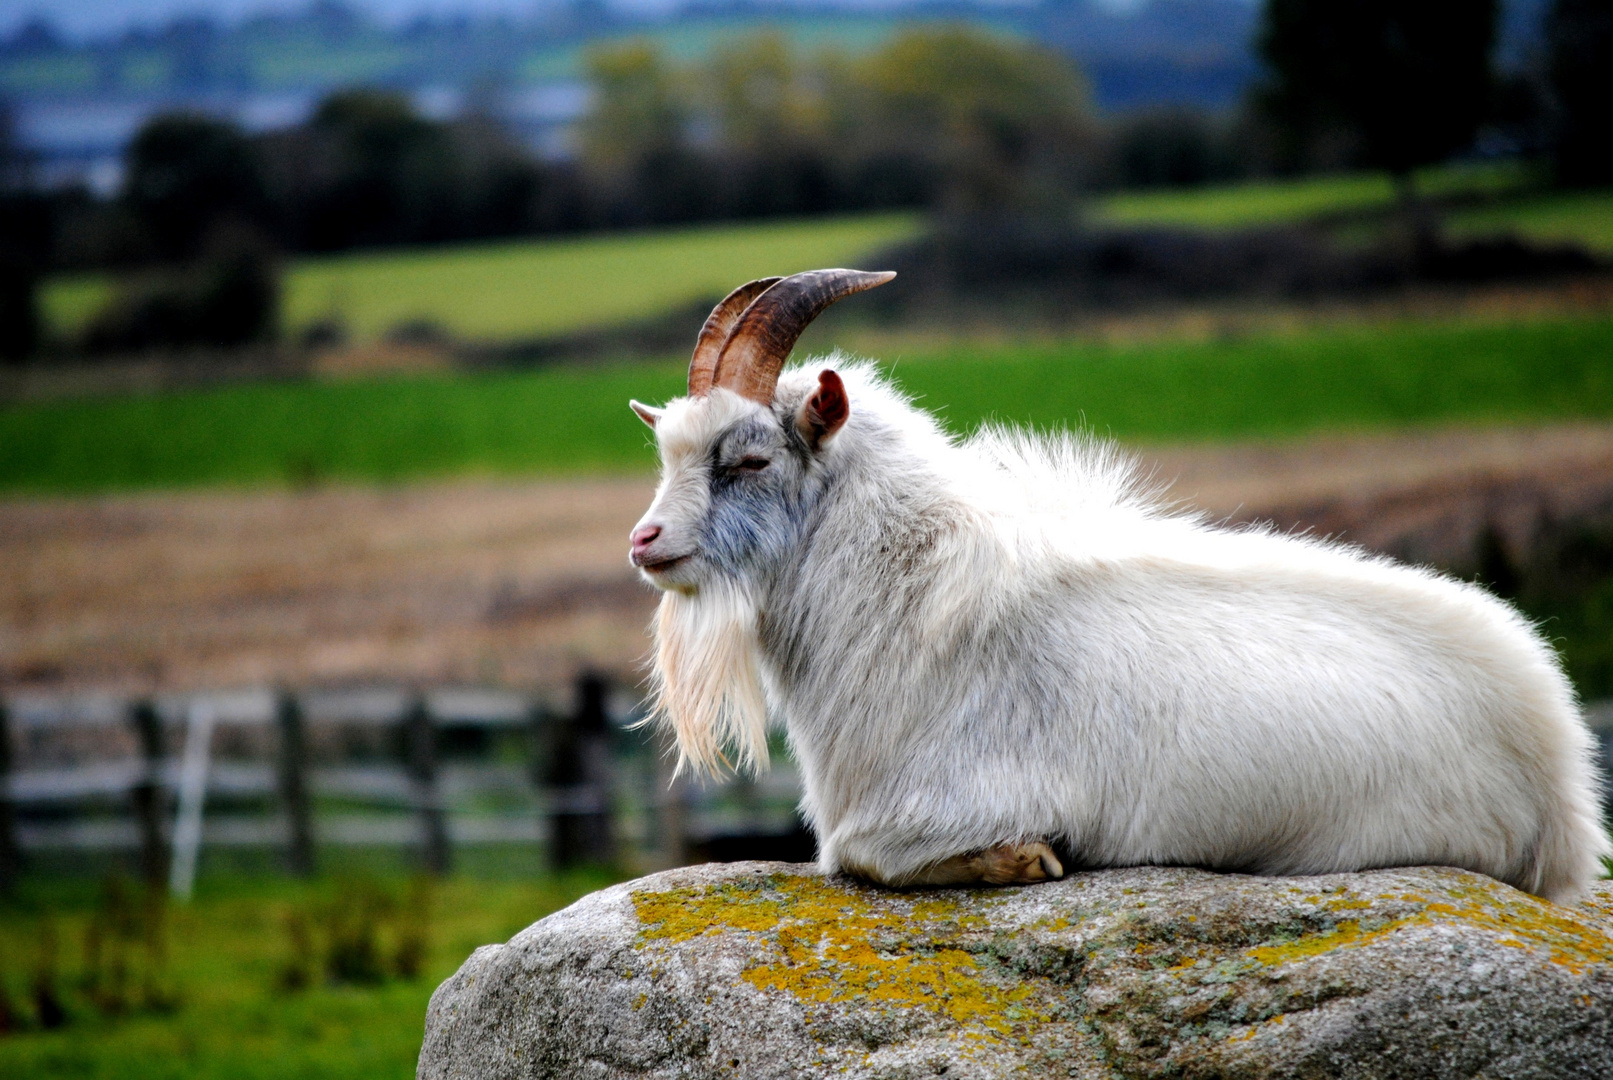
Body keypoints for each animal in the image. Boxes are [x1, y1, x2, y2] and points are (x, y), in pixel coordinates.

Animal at [622, 270, 1606, 902]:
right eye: (667, 452)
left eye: (749, 459)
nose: (644, 542)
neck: (912, 584)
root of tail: (1561, 785)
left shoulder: (925, 809)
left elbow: (864, 857)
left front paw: (1027, 859)